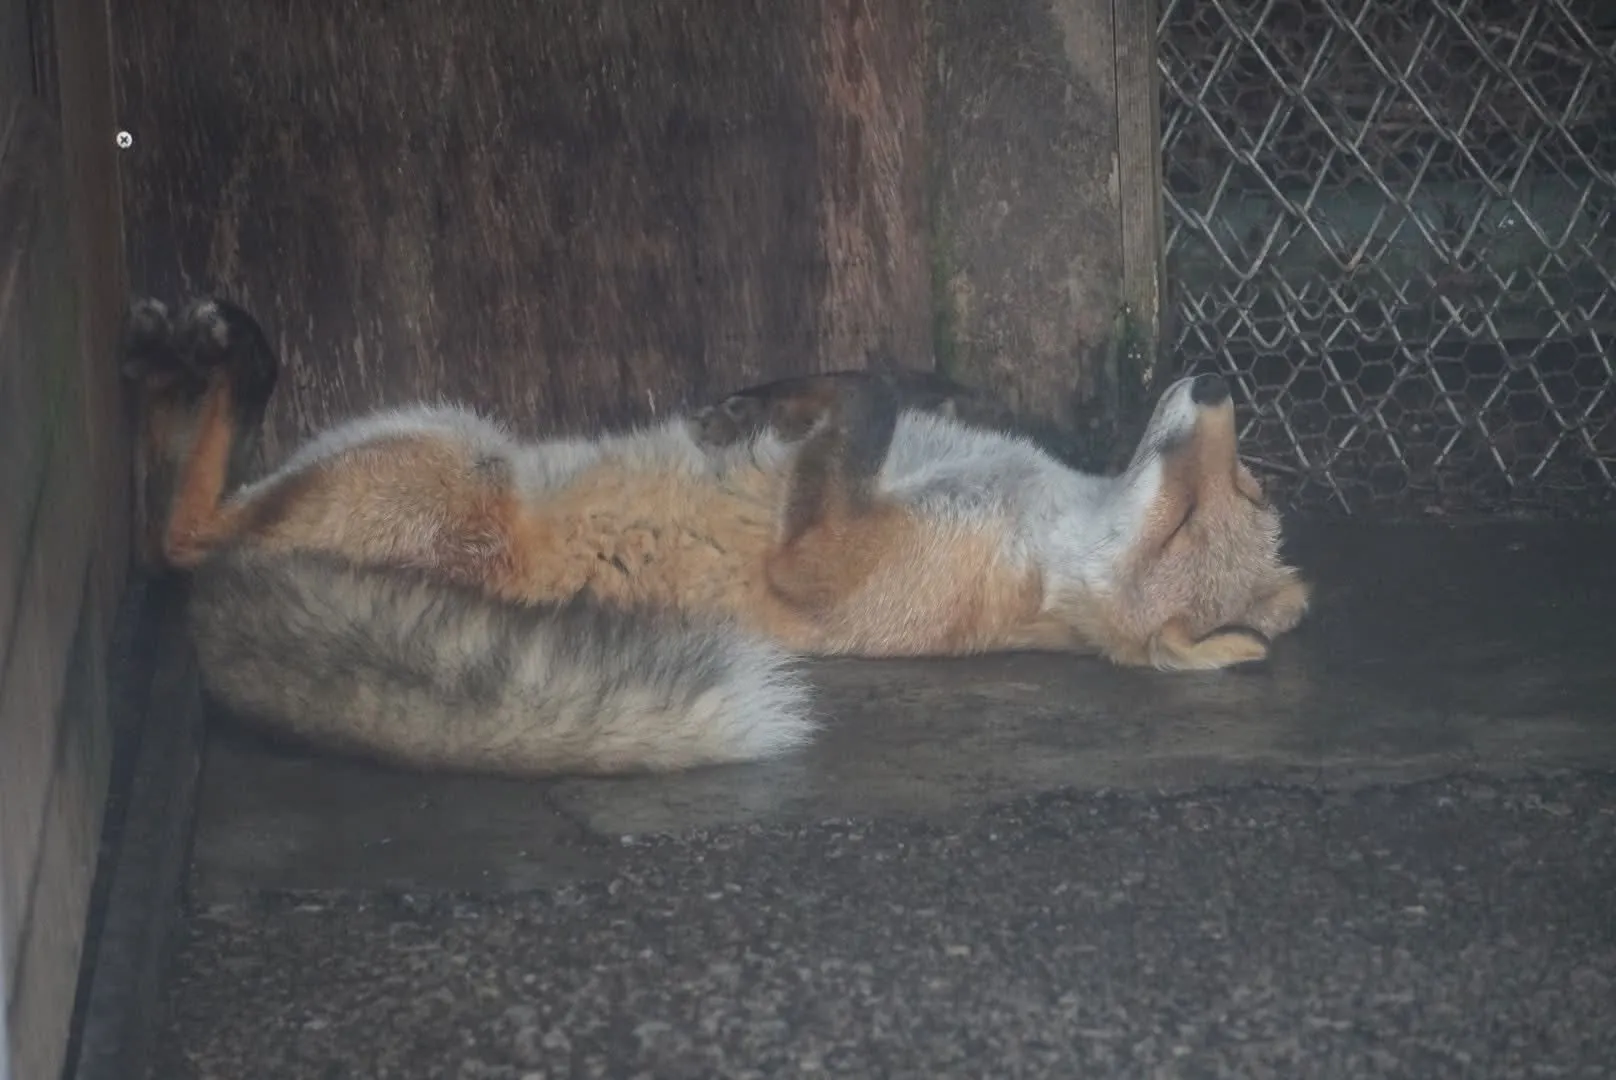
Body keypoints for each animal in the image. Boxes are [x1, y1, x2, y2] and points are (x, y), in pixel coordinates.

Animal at [124, 296, 1311, 778]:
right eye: (1243, 484)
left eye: (1195, 516)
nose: (1215, 381)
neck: (1039, 529)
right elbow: (875, 381)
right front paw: (757, 403)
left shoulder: (821, 571)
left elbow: (864, 403)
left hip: (442, 454)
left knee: (182, 534)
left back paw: (220, 355)